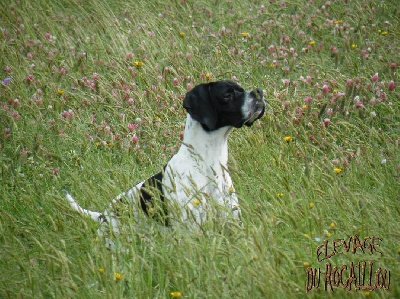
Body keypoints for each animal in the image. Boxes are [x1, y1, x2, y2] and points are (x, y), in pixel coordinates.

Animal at [66, 81, 266, 243]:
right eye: (227, 94)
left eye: (241, 88)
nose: (258, 92)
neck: (209, 163)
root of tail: (103, 215)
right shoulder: (192, 232)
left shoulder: (231, 224)